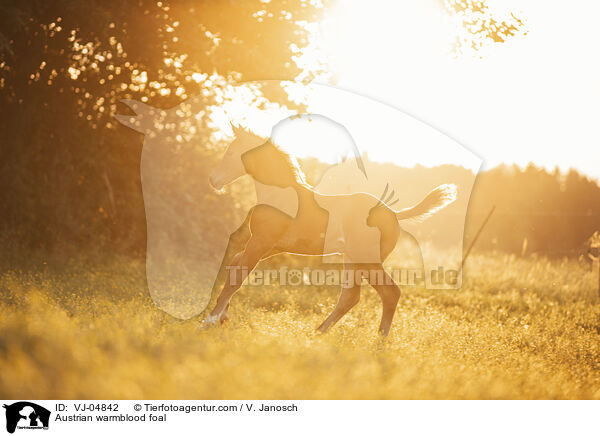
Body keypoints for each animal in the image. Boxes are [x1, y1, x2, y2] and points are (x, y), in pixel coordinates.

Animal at [206, 124, 454, 336]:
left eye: (230, 153)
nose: (213, 180)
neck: (281, 196)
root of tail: (393, 213)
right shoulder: (271, 246)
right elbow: (236, 264)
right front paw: (221, 316)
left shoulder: (261, 242)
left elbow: (239, 276)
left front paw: (210, 320)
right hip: (353, 260)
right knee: (351, 297)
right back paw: (319, 333)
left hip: (368, 260)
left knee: (390, 293)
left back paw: (378, 342)